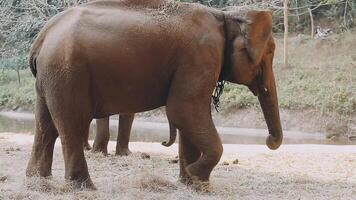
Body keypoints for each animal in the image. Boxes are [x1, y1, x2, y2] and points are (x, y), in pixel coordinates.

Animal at [26, 0, 284, 191]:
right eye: (270, 52)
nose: (269, 140)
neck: (226, 16)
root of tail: (42, 36)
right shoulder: (200, 56)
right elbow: (184, 111)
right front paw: (195, 176)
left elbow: (187, 118)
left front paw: (193, 185)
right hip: (67, 72)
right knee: (72, 125)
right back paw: (85, 187)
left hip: (51, 77)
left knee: (45, 126)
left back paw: (38, 181)